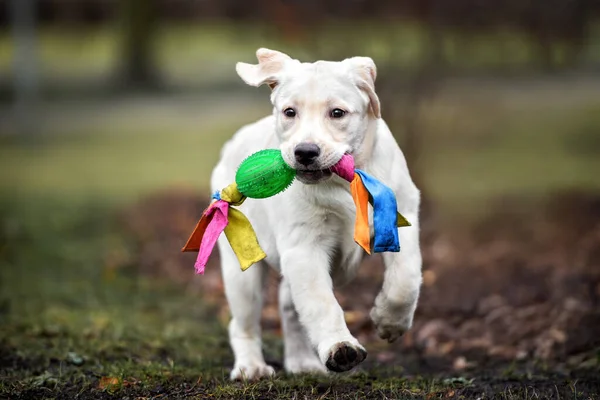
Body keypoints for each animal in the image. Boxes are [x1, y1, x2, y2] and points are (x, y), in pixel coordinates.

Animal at [211, 48, 422, 380]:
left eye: (337, 113)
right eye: (289, 112)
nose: (305, 152)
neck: (343, 182)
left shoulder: (402, 218)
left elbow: (406, 279)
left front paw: (389, 321)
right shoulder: (304, 248)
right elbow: (322, 303)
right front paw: (341, 347)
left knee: (289, 307)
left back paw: (302, 362)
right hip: (240, 270)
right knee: (244, 321)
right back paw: (251, 366)